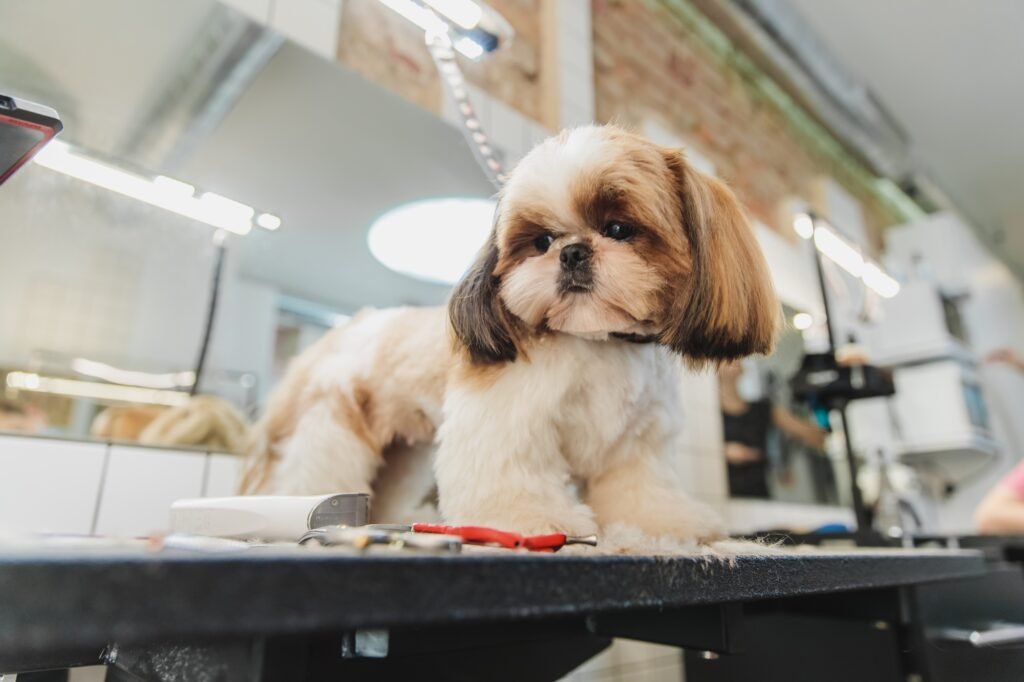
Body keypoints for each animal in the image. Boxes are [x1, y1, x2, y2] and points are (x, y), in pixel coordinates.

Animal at [241, 123, 774, 540]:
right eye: (541, 241)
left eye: (619, 229)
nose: (572, 252)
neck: (600, 342)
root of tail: (340, 332)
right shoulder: (509, 413)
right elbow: (511, 473)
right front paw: (531, 519)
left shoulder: (635, 442)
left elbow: (639, 489)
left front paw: (665, 522)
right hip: (329, 422)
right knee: (311, 467)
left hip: (403, 450)